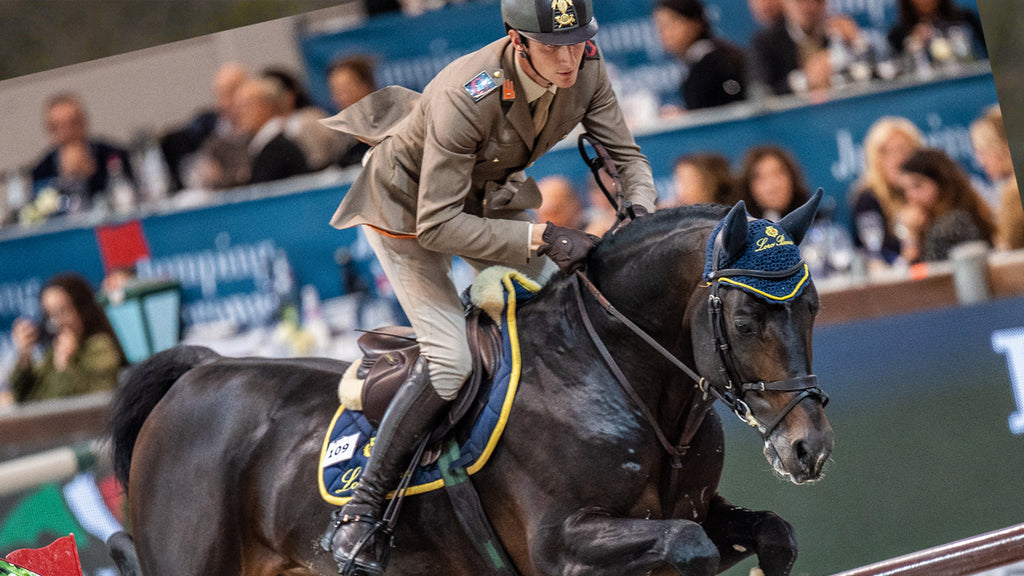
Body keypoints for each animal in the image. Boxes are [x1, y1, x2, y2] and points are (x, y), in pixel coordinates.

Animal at [110, 196, 831, 573]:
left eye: (814, 307)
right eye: (746, 319)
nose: (811, 449)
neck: (615, 379)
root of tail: (196, 374)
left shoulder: (697, 508)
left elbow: (772, 534)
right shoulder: (560, 546)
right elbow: (690, 549)